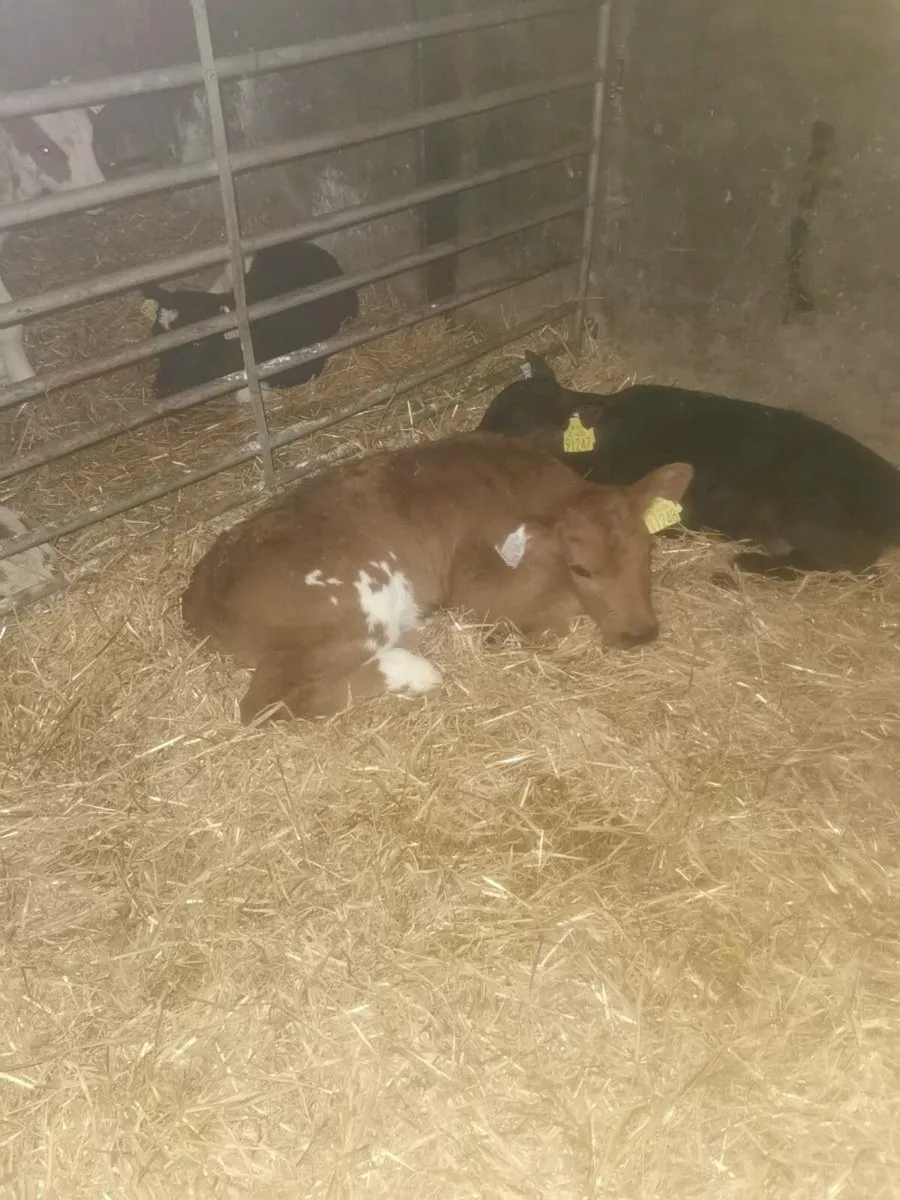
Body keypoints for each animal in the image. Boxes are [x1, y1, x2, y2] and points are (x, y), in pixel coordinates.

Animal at [181, 432, 693, 724]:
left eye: (648, 552)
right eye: (581, 568)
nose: (640, 633)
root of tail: (199, 596)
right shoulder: (475, 589)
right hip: (349, 607)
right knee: (264, 704)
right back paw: (413, 670)